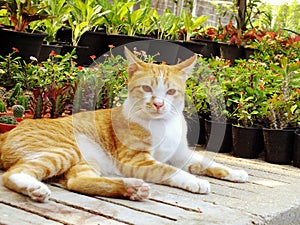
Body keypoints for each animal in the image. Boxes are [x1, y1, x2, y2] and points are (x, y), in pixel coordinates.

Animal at [0, 47, 247, 202]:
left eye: (171, 92)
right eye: (146, 88)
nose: (158, 104)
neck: (163, 124)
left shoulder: (180, 154)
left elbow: (206, 161)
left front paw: (234, 172)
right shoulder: (137, 160)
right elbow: (170, 170)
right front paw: (194, 181)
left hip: (85, 160)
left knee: (78, 181)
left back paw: (131, 189)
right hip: (67, 149)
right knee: (13, 174)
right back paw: (34, 187)